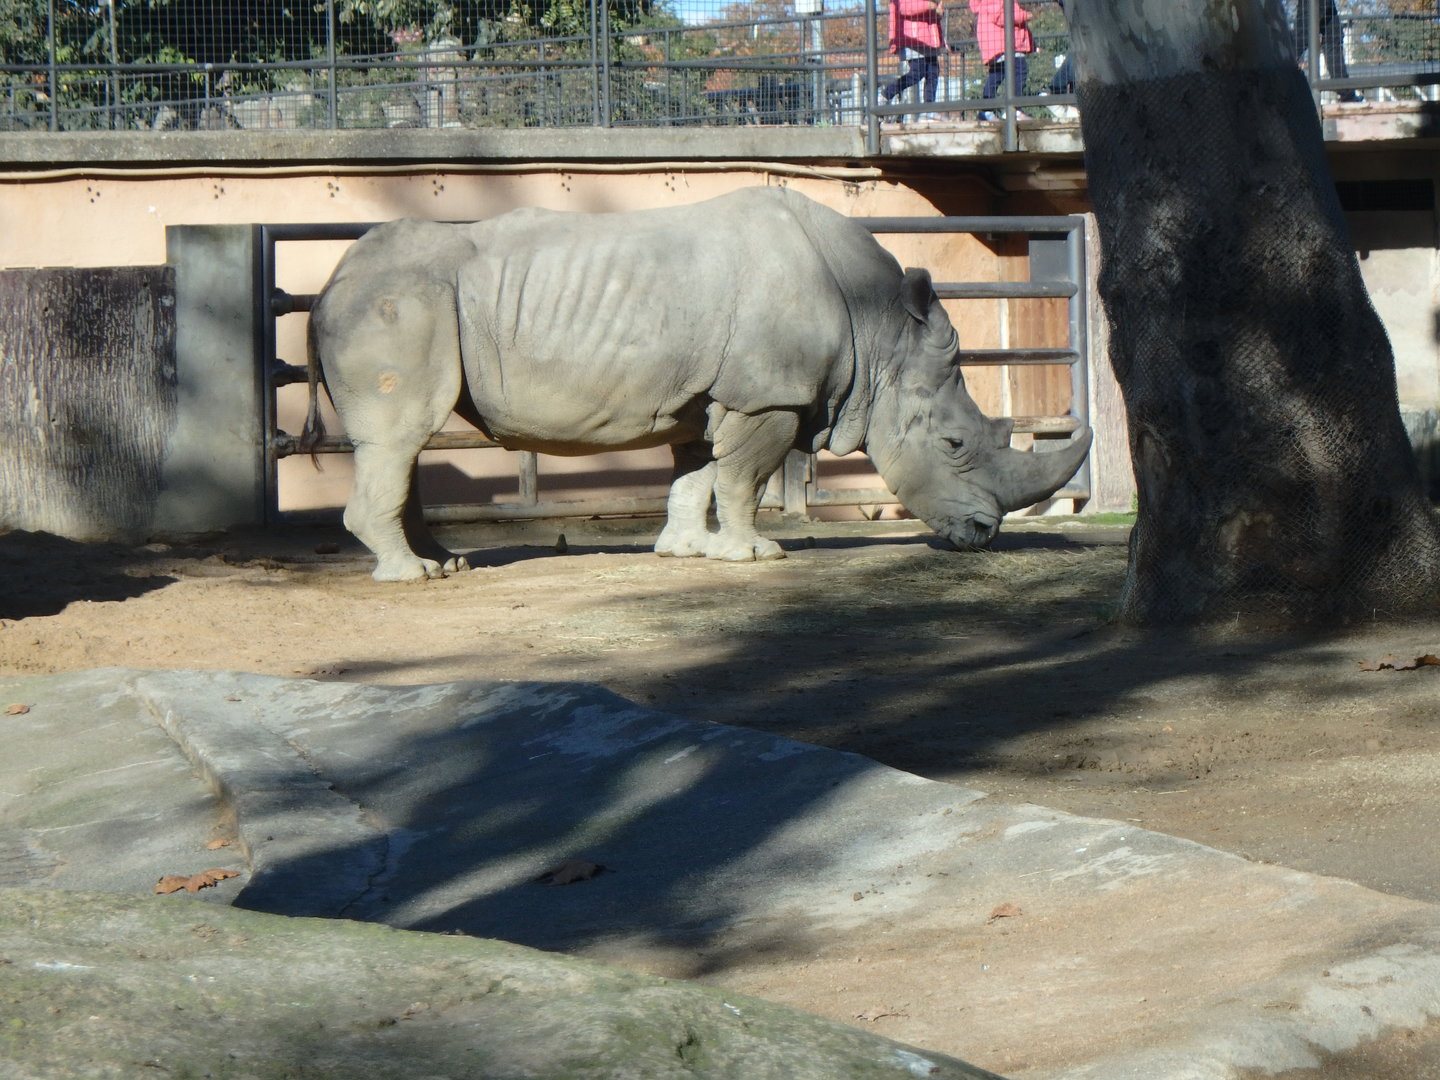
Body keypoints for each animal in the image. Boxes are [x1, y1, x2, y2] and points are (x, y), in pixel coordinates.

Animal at [304, 187, 1091, 581]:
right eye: (955, 443)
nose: (983, 536)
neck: (882, 335)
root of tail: (329, 284)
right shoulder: (768, 394)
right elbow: (744, 478)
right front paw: (753, 556)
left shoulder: (710, 394)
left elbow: (697, 473)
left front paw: (684, 552)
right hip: (396, 303)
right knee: (400, 435)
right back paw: (412, 576)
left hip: (397, 301)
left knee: (404, 447)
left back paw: (448, 564)